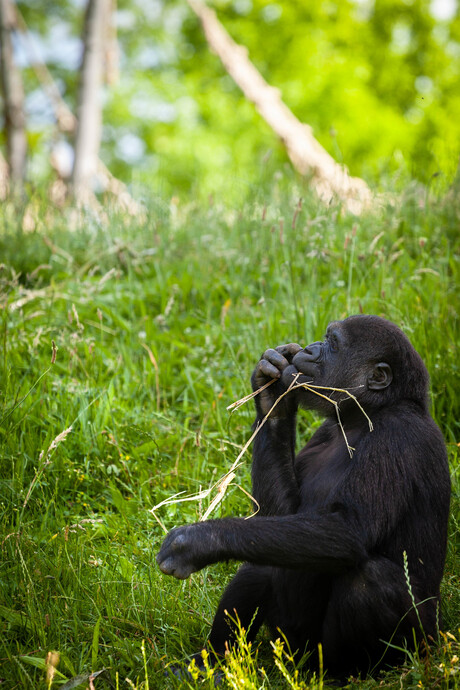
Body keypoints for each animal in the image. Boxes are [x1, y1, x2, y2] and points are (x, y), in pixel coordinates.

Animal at [157, 314, 450, 676]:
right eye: (324, 339)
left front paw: (200, 541)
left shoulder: (397, 436)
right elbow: (282, 519)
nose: (309, 349)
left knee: (368, 580)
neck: (365, 416)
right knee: (265, 557)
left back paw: (350, 673)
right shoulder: (324, 432)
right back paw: (208, 661)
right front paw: (271, 393)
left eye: (333, 344)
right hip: (288, 644)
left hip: (416, 646)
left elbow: (347, 529)